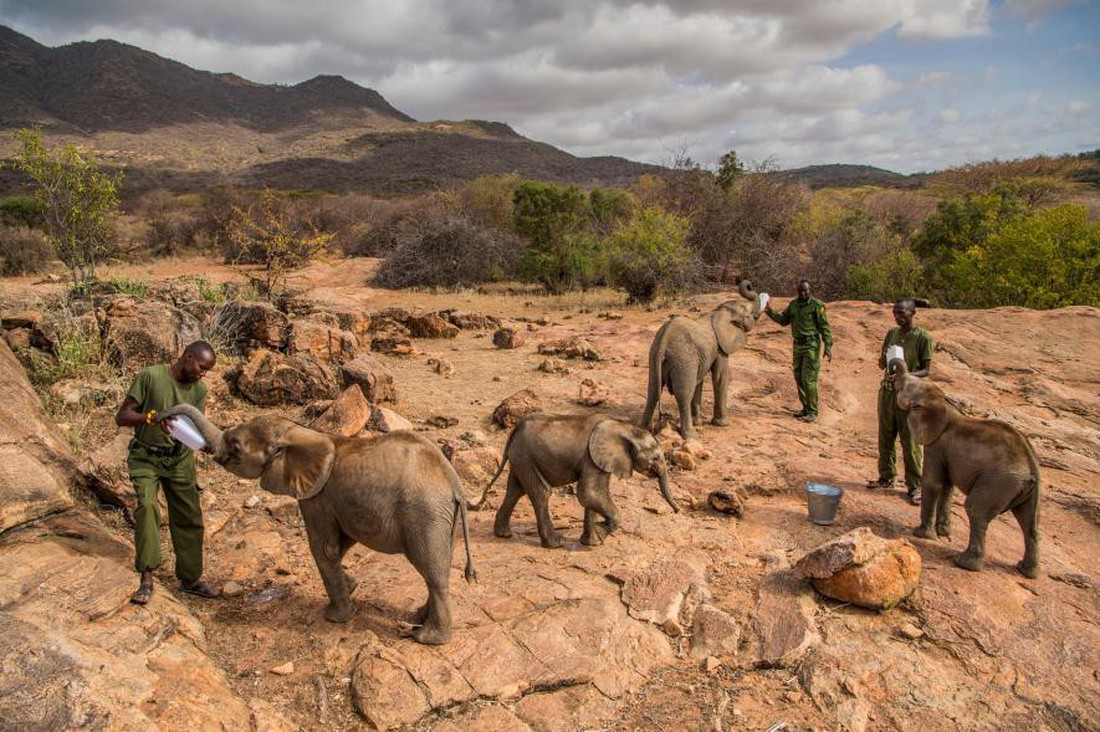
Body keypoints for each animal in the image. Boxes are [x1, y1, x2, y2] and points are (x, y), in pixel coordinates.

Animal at [155, 402, 473, 642]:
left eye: (235, 445)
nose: (162, 419)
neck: (299, 432)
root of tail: (453, 483)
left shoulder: (316, 497)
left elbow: (324, 548)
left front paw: (335, 618)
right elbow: (341, 544)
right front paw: (352, 586)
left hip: (424, 513)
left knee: (430, 569)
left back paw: (427, 639)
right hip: (441, 517)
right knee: (439, 566)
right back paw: (417, 619)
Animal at [473, 411, 677, 548]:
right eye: (655, 458)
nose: (677, 510)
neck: (623, 427)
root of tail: (515, 429)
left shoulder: (599, 460)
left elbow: (592, 496)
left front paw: (592, 543)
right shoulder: (592, 457)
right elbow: (588, 493)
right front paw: (601, 534)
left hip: (521, 458)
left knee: (515, 491)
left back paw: (503, 535)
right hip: (525, 457)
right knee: (541, 493)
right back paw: (554, 544)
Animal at [642, 278, 761, 440]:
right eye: (749, 314)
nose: (749, 284)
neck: (719, 313)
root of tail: (663, 341)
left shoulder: (702, 355)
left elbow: (700, 380)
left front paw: (698, 422)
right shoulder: (720, 348)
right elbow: (720, 377)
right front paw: (722, 424)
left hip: (655, 356)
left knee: (653, 390)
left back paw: (644, 428)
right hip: (683, 360)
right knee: (683, 394)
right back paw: (691, 435)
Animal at [888, 358, 1042, 576]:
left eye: (903, 387)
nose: (891, 372)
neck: (944, 402)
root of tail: (1031, 467)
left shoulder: (937, 444)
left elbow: (933, 483)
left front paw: (921, 534)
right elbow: (947, 487)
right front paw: (943, 532)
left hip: (999, 482)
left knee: (976, 509)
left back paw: (963, 562)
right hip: (1027, 490)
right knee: (1030, 523)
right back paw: (1025, 571)